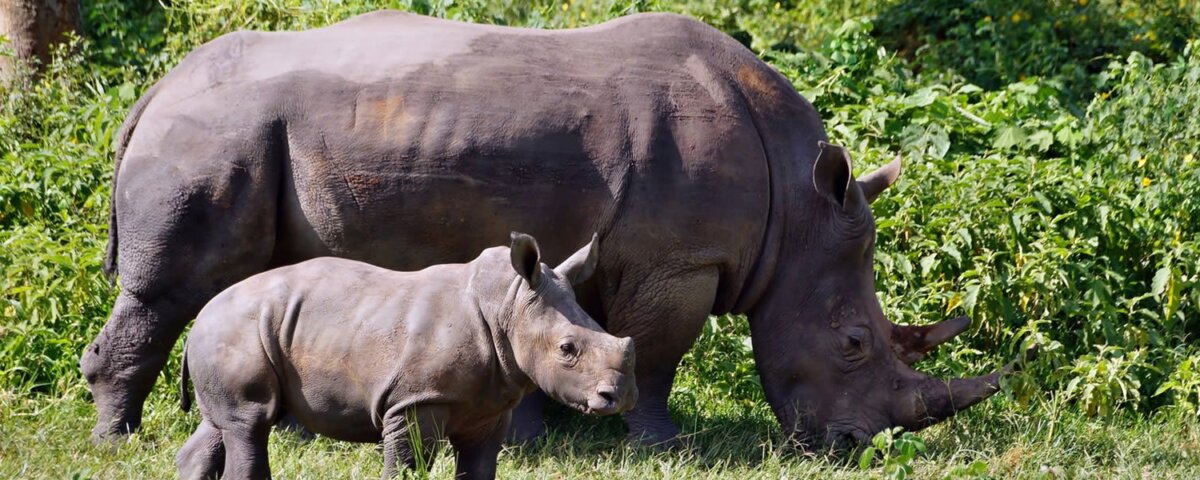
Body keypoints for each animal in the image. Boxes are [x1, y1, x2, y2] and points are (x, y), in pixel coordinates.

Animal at [83, 10, 1007, 447]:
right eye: (852, 344)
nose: (855, 446)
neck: (795, 213)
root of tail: (154, 92)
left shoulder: (615, 252)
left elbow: (577, 338)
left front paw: (549, 429)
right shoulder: (682, 259)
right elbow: (657, 353)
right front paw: (660, 443)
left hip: (236, 132)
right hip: (215, 136)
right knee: (175, 289)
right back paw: (119, 437)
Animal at [176, 233, 637, 479]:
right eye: (567, 349)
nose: (621, 397)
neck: (508, 304)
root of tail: (199, 317)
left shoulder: (487, 407)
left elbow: (479, 468)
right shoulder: (415, 400)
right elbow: (408, 465)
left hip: (234, 333)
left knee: (223, 423)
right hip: (237, 329)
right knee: (250, 422)